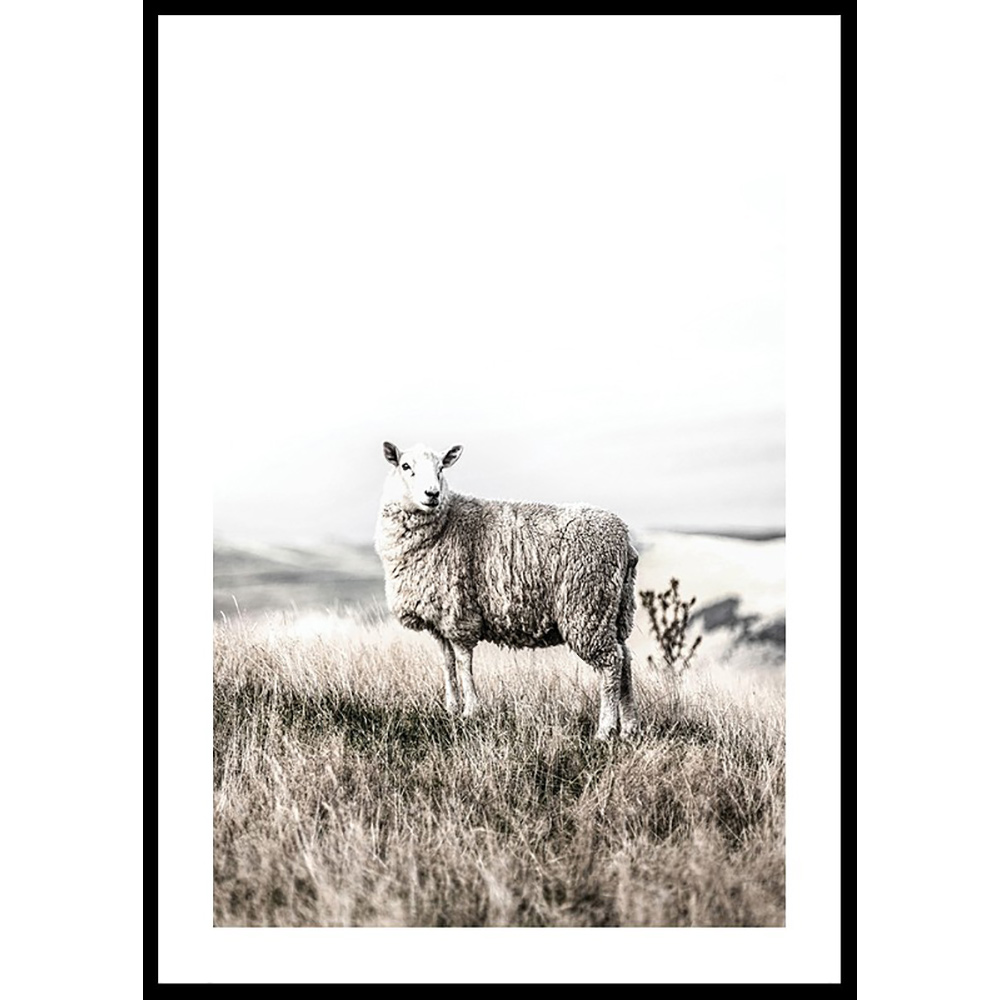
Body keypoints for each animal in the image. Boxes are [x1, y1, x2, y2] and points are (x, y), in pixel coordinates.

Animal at [374, 441, 639, 739]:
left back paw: (605, 730)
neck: (445, 523)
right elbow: (447, 663)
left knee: (611, 663)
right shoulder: (439, 618)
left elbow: (464, 662)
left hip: (587, 606)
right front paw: (451, 708)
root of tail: (624, 539)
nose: (432, 494)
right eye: (405, 466)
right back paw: (629, 728)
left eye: (441, 467)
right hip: (615, 609)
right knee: (625, 660)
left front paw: (470, 711)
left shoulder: (460, 613)